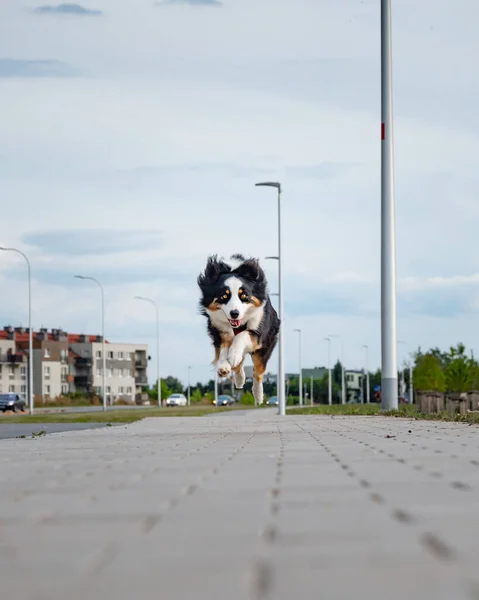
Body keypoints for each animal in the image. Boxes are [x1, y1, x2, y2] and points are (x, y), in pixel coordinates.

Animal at [198, 253, 282, 404]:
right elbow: (224, 347)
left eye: (244, 295)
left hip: (265, 347)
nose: (234, 313)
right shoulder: (219, 330)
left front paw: (233, 355)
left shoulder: (259, 331)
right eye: (224, 296)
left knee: (258, 373)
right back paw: (238, 378)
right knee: (239, 366)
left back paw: (258, 396)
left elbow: (242, 336)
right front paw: (224, 365)